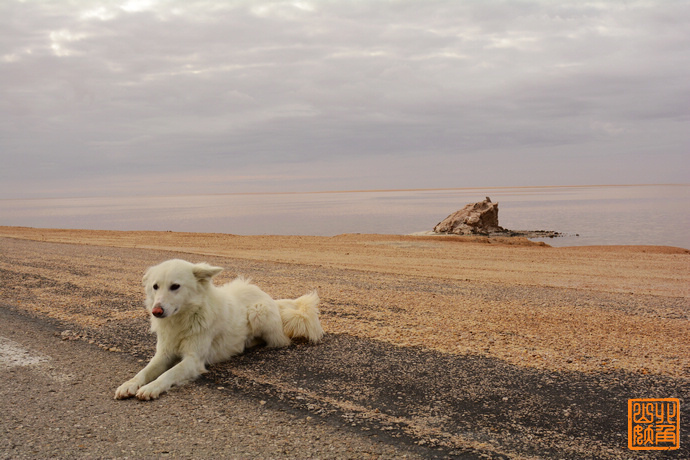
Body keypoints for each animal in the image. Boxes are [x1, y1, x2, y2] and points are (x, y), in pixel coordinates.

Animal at [115, 258, 322, 398]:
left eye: (175, 286)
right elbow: (144, 371)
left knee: (279, 341)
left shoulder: (193, 360)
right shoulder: (163, 354)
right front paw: (129, 384)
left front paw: (151, 388)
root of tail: (270, 297)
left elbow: (167, 374)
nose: (156, 311)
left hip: (258, 312)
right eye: (155, 286)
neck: (183, 320)